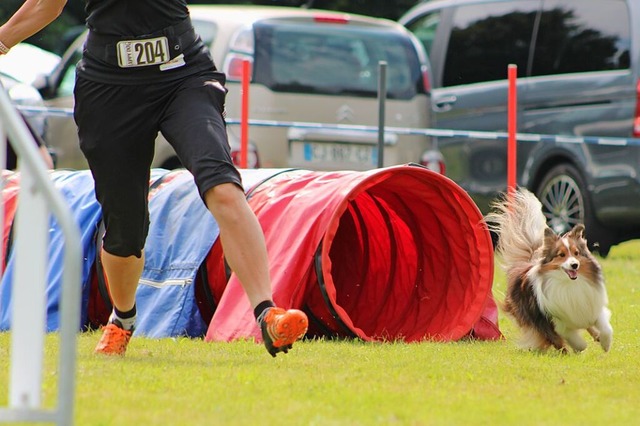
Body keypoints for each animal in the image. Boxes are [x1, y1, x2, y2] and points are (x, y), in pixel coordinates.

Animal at [488, 190, 612, 352]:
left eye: (576, 253)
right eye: (561, 255)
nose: (574, 265)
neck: (569, 284)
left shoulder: (590, 305)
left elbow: (605, 326)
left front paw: (605, 343)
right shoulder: (553, 318)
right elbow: (567, 334)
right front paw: (579, 346)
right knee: (556, 340)